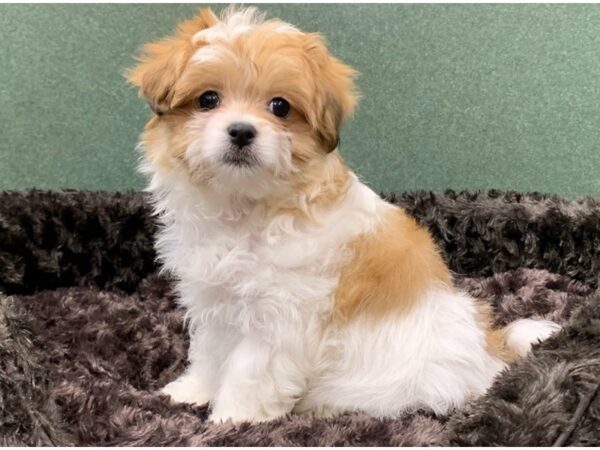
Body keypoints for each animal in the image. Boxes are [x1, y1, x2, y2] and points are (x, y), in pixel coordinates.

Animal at [127, 6, 564, 422]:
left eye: (280, 107)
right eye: (208, 100)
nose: (241, 131)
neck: (246, 207)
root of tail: (491, 354)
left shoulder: (277, 320)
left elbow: (248, 372)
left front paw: (230, 421)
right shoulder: (215, 302)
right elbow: (209, 353)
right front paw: (190, 391)